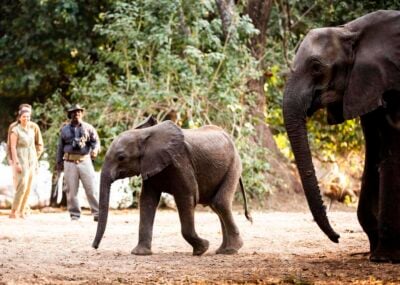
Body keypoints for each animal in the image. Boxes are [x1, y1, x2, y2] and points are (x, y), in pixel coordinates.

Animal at [92, 115, 252, 255]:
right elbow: (147, 201)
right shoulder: (150, 165)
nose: (94, 247)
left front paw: (202, 249)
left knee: (220, 202)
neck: (144, 134)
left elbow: (186, 197)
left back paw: (230, 250)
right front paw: (140, 253)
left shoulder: (180, 162)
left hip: (234, 165)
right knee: (216, 205)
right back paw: (222, 251)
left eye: (121, 157)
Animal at [282, 10, 398, 262]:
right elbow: (375, 150)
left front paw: (384, 257)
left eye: (316, 67)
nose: (337, 237)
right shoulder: (367, 84)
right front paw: (377, 253)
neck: (350, 31)